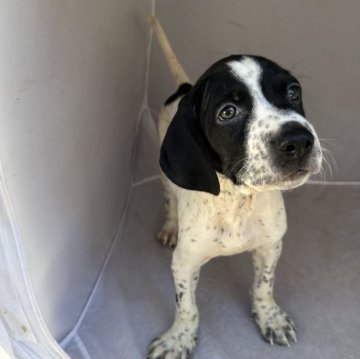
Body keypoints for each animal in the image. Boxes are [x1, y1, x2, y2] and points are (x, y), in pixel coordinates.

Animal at [148, 15, 322, 358]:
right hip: (164, 179)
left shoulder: (271, 246)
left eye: (293, 92)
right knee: (168, 200)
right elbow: (186, 306)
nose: (299, 140)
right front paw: (179, 337)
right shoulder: (184, 263)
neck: (236, 202)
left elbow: (263, 286)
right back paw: (170, 226)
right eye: (227, 112)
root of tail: (185, 89)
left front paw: (270, 318)